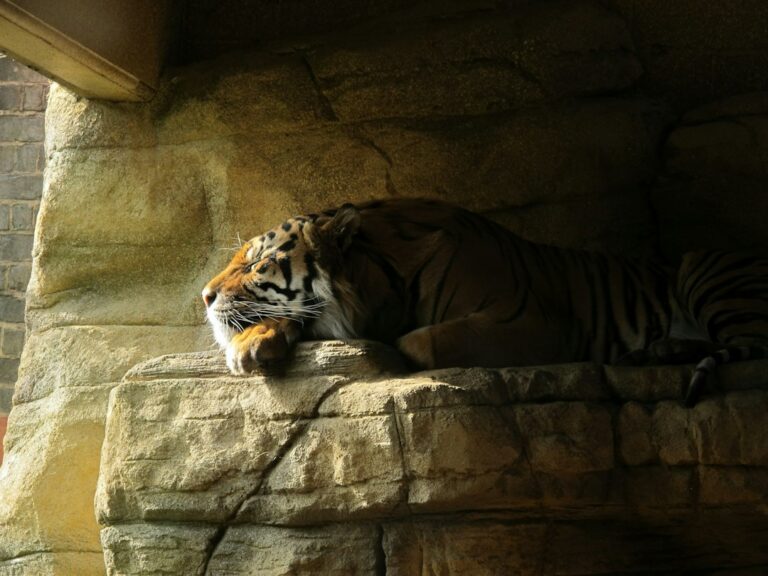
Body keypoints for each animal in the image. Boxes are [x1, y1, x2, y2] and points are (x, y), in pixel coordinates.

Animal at [202, 198, 768, 406]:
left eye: (255, 263)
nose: (204, 296)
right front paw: (252, 343)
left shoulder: (536, 322)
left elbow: (421, 342)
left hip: (704, 269)